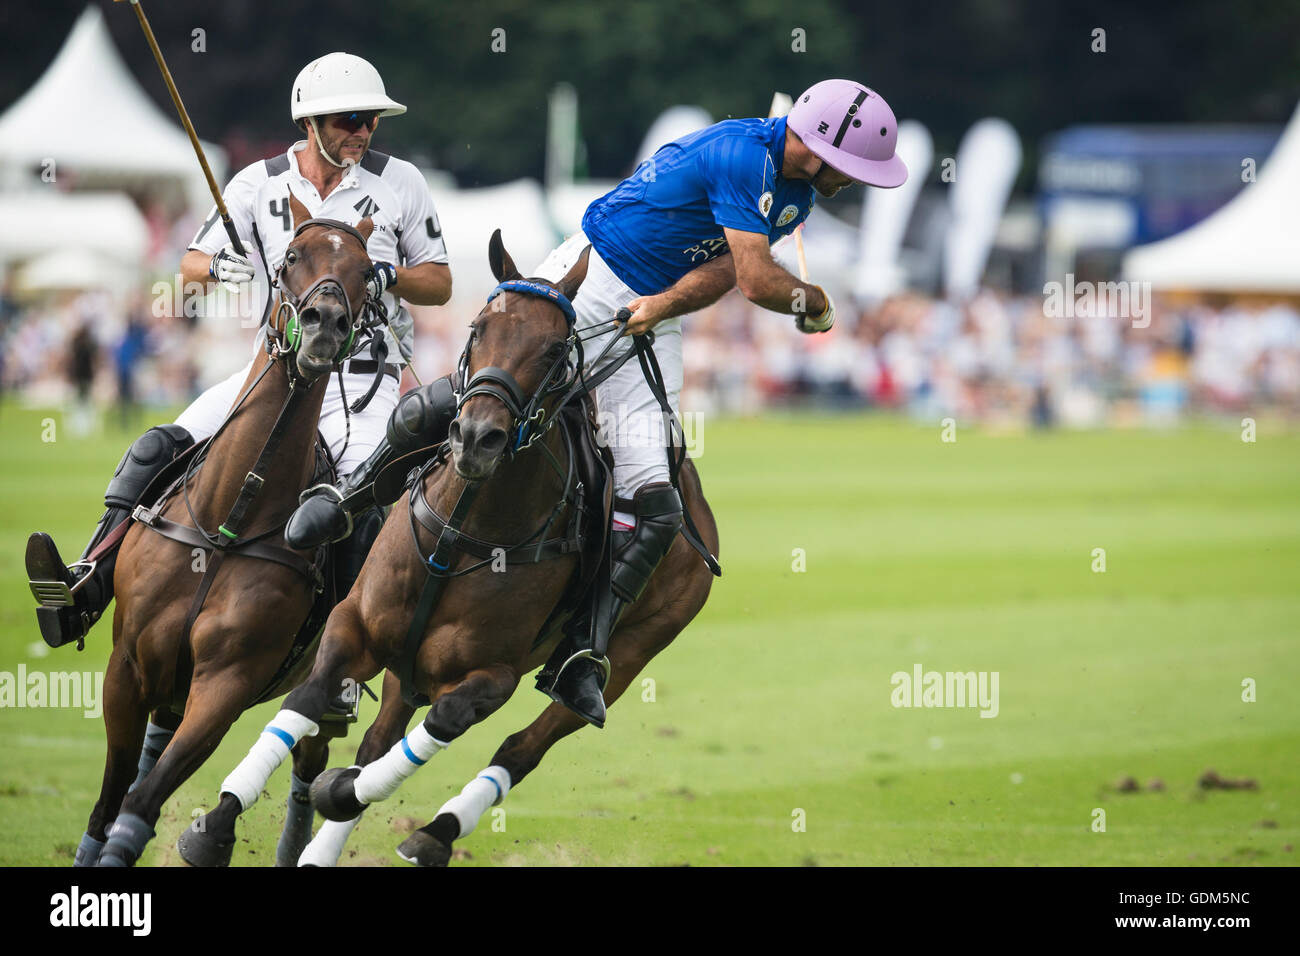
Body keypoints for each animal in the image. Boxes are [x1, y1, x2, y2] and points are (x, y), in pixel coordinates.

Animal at [87, 195, 377, 868]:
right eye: (291, 256)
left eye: (368, 271)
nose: (324, 324)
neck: (229, 520)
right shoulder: (127, 666)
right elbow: (111, 801)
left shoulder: (227, 682)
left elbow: (139, 805)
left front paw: (204, 836)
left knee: (308, 764)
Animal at [189, 230, 722, 868]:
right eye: (478, 327)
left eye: (554, 350)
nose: (475, 438)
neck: (461, 532)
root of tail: (697, 503)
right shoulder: (355, 623)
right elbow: (311, 696)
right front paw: (218, 819)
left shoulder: (492, 676)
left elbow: (438, 725)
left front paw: (339, 791)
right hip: (407, 665)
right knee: (380, 736)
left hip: (635, 649)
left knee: (523, 745)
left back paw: (432, 833)